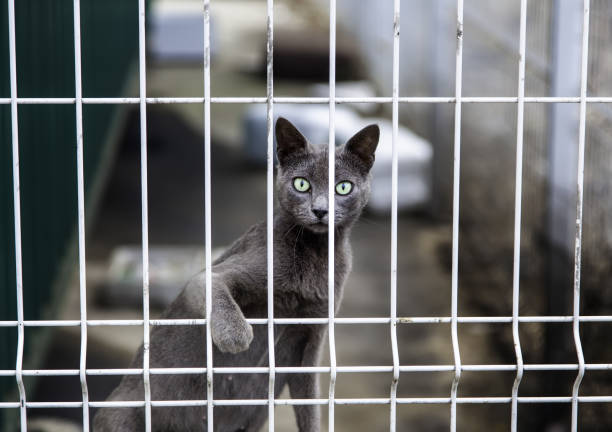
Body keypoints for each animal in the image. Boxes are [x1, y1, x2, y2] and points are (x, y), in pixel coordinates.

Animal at [92, 118, 378, 432]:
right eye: (301, 184)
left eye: (343, 187)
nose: (320, 210)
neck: (316, 252)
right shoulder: (222, 272)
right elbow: (211, 285)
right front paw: (236, 337)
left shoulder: (311, 335)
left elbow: (310, 404)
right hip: (122, 411)